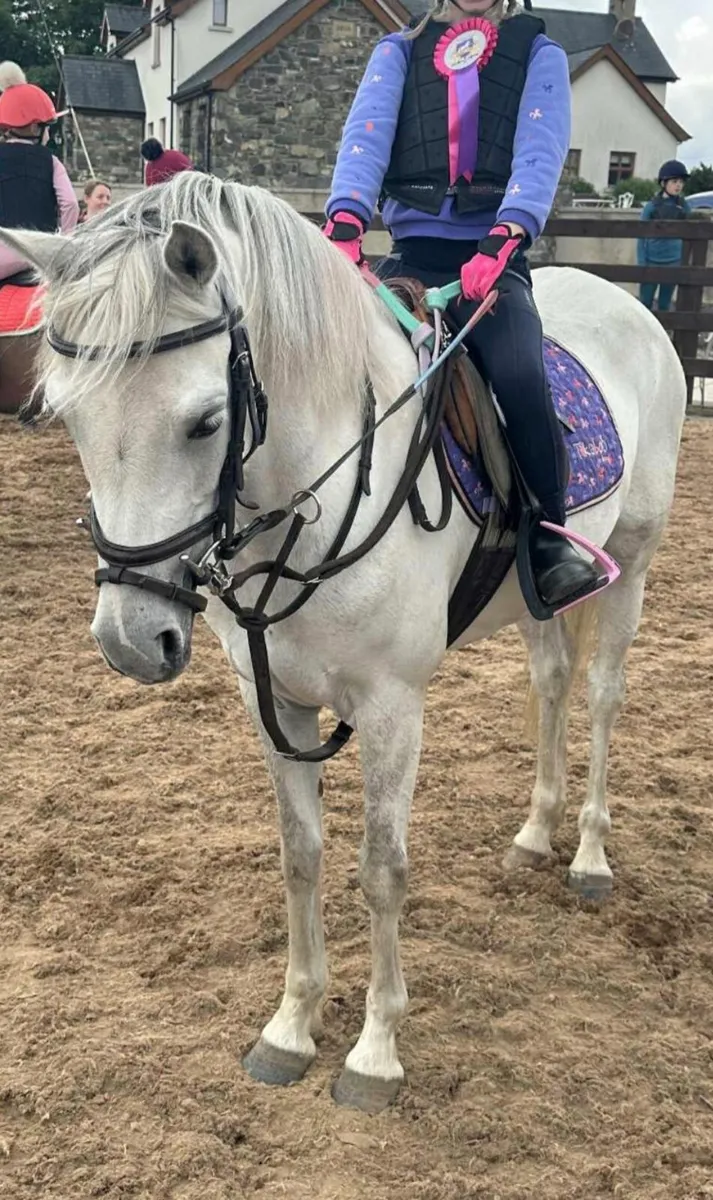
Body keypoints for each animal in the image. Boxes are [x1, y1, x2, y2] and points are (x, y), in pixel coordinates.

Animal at [0, 174, 686, 1114]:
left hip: (635, 563)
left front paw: (374, 1052)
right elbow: (301, 858)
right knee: (550, 682)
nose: (131, 641)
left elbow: (379, 869)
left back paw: (586, 854)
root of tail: (619, 298)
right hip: (538, 602)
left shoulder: (393, 709)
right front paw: (290, 1028)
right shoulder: (274, 702)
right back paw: (534, 834)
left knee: (602, 697)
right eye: (66, 416)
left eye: (204, 422)